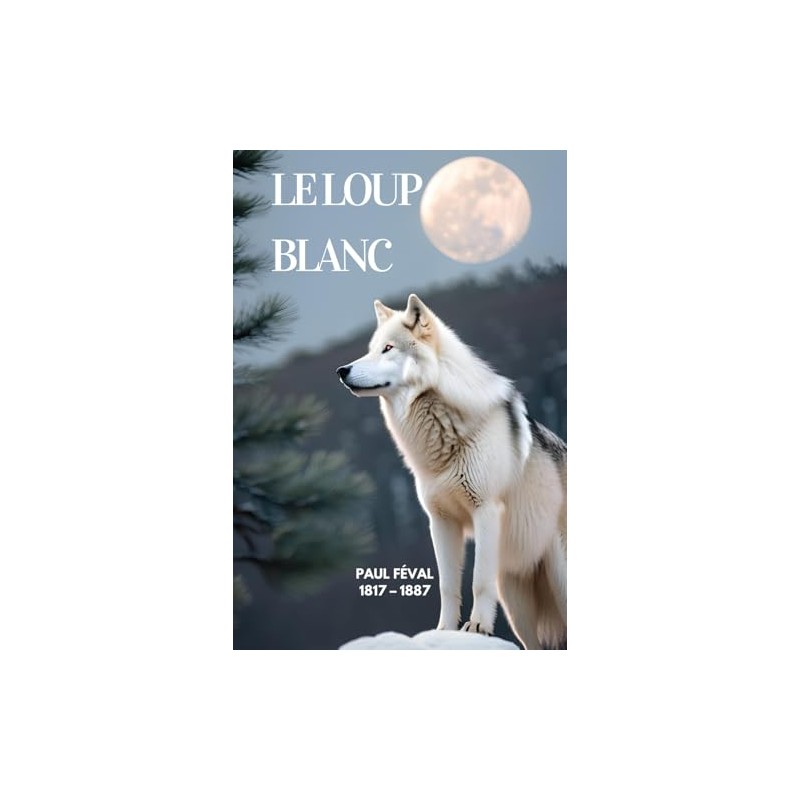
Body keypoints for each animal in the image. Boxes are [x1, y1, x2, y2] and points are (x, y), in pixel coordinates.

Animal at [336, 294, 567, 650]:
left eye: (388, 348)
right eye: (371, 349)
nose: (341, 370)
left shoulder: (486, 511)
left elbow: (478, 582)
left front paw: (477, 627)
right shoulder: (441, 521)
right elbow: (447, 585)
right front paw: (443, 632)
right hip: (517, 604)